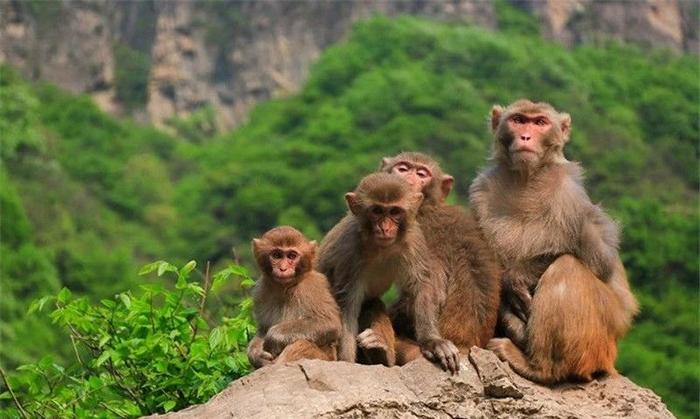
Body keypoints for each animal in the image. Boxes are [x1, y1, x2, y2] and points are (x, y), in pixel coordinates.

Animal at [247, 226, 342, 369]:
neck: (285, 288)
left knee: (301, 344)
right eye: (276, 255)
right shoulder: (260, 291)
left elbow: (329, 323)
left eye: (292, 256)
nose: (283, 268)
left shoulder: (312, 287)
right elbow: (263, 329)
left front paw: (274, 337)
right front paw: (256, 355)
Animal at [318, 173, 461, 373]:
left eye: (394, 212)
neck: (379, 248)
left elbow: (421, 286)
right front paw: (347, 363)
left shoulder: (413, 238)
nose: (385, 227)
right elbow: (347, 307)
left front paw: (433, 341)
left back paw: (380, 351)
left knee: (373, 304)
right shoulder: (349, 249)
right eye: (377, 211)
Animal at [371, 152, 501, 363]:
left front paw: (432, 341)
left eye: (422, 174)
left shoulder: (418, 233)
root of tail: (467, 346)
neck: (427, 207)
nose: (408, 179)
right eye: (403, 168)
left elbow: (429, 290)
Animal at [469, 99, 639, 384]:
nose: (526, 136)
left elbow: (601, 262)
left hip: (600, 339)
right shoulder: (480, 192)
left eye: (540, 123)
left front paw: (514, 278)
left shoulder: (570, 197)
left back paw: (539, 367)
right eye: (518, 120)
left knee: (567, 268)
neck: (525, 180)